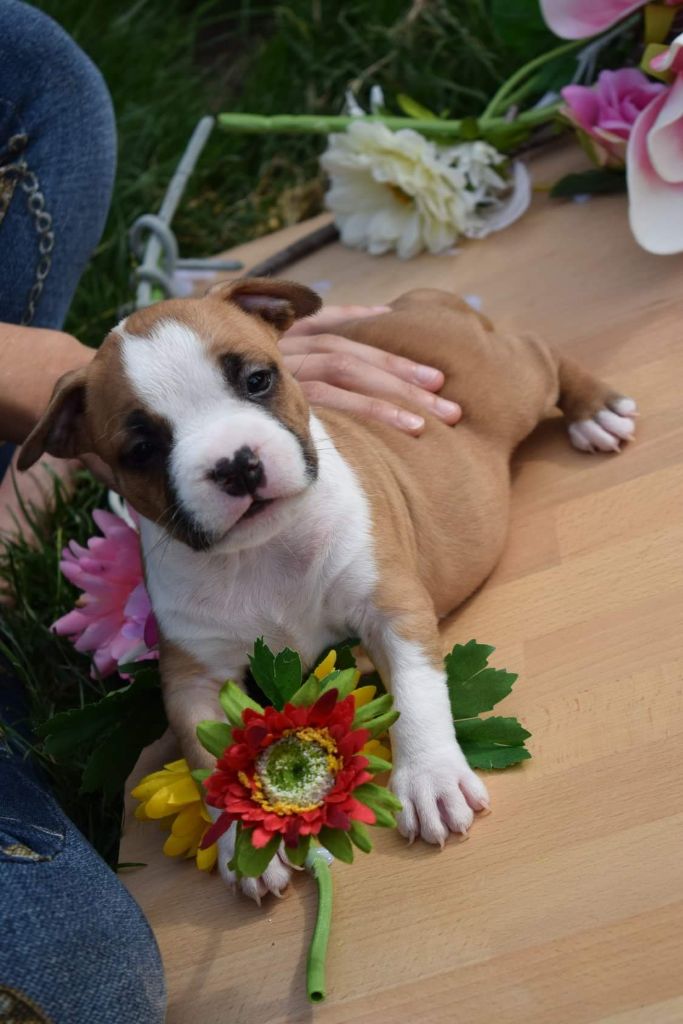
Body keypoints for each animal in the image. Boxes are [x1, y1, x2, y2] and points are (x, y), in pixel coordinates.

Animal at [19, 278, 637, 901]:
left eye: (257, 380)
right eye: (141, 449)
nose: (234, 464)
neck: (259, 554)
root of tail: (412, 303)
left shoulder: (391, 609)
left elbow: (415, 689)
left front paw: (431, 776)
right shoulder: (192, 680)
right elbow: (205, 754)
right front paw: (240, 843)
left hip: (512, 385)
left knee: (541, 352)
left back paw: (597, 410)